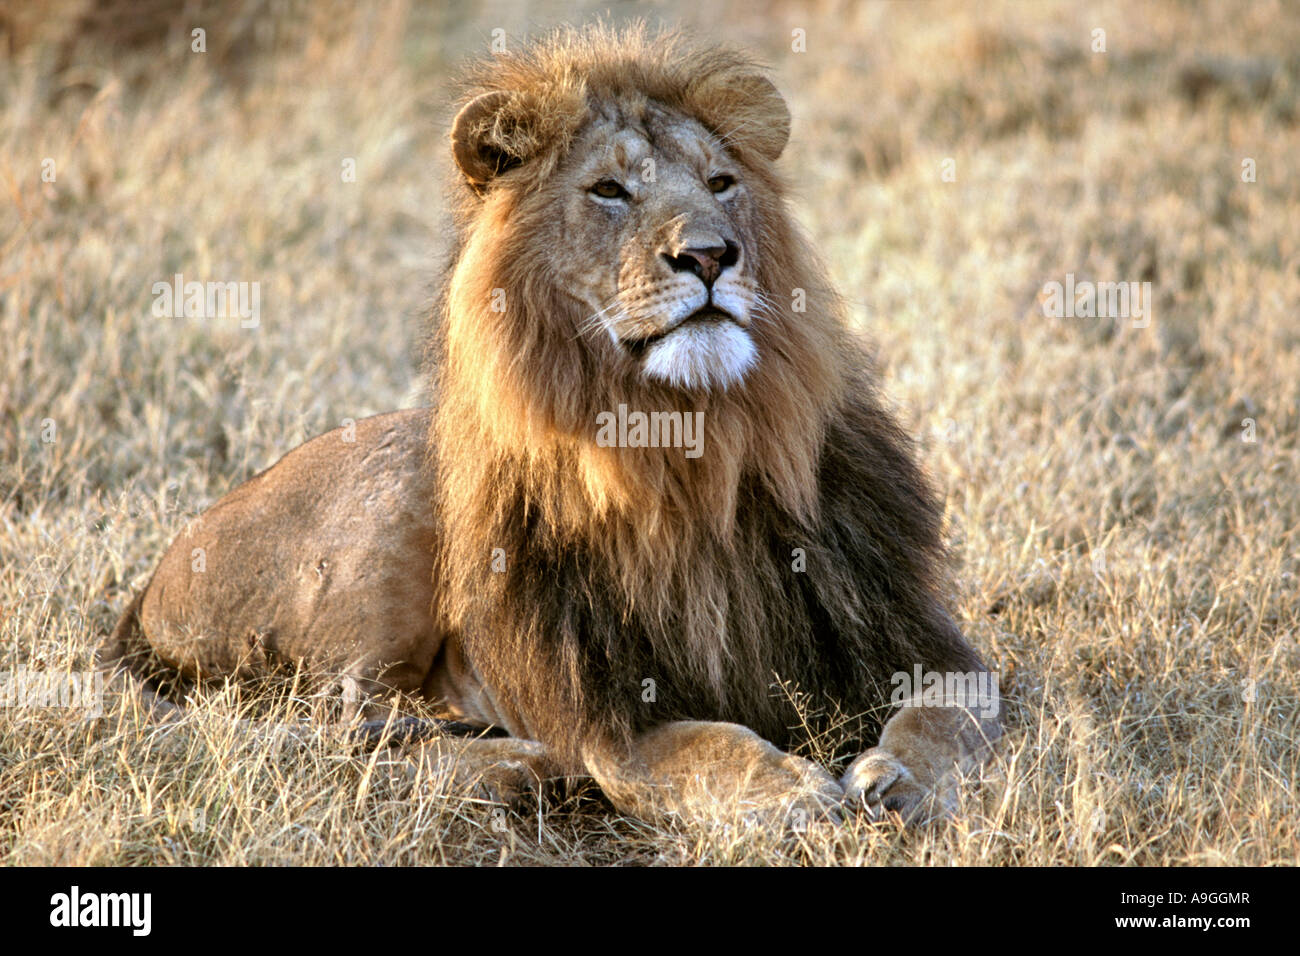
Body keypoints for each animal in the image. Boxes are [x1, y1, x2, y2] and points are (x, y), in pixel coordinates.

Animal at [102, 24, 1000, 827]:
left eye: (720, 183)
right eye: (609, 191)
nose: (712, 255)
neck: (693, 443)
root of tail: (151, 584)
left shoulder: (916, 638)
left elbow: (946, 714)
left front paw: (900, 782)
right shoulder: (607, 717)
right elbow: (708, 746)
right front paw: (789, 793)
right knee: (330, 733)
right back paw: (512, 765)